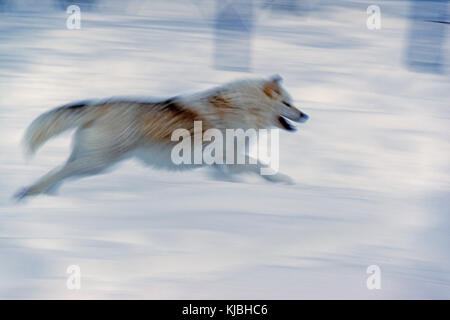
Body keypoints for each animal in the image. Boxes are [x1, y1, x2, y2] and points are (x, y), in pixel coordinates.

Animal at [14, 76, 310, 199]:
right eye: (288, 104)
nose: (305, 115)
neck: (243, 107)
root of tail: (98, 106)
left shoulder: (220, 162)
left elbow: (229, 177)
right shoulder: (232, 157)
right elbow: (263, 167)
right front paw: (284, 181)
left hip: (91, 162)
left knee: (60, 172)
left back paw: (46, 198)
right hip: (98, 163)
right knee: (57, 173)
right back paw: (28, 194)